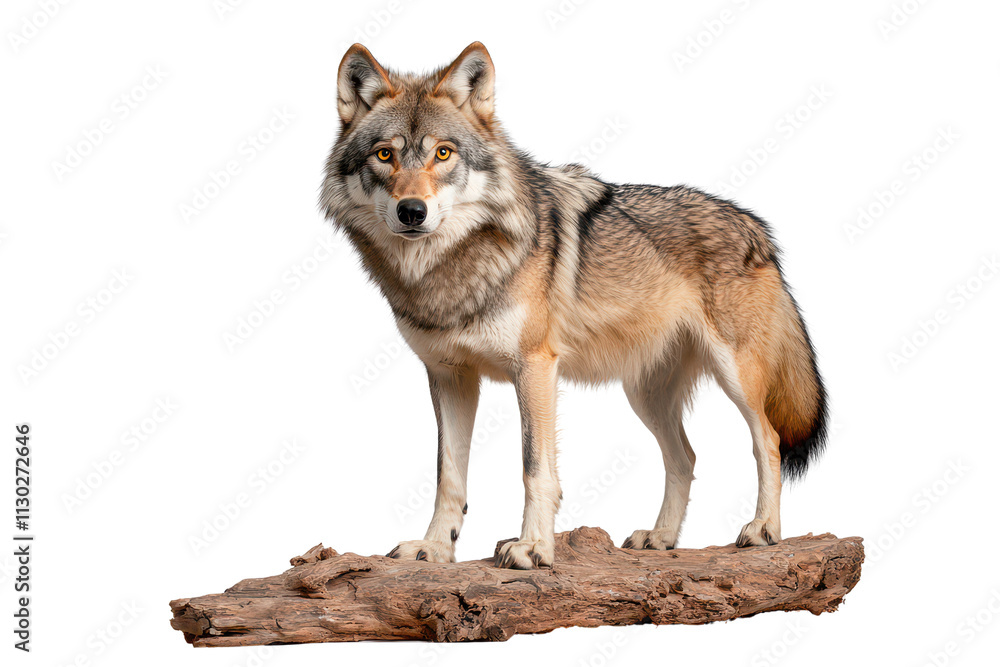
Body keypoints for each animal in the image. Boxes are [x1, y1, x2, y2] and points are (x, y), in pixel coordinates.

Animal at [320, 42, 827, 570]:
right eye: (385, 155)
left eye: (443, 153)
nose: (412, 212)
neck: (450, 271)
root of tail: (757, 227)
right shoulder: (449, 375)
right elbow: (448, 475)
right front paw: (436, 548)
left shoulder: (535, 368)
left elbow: (534, 468)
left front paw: (532, 548)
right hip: (644, 394)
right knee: (685, 457)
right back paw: (662, 537)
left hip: (735, 377)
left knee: (767, 441)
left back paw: (763, 528)